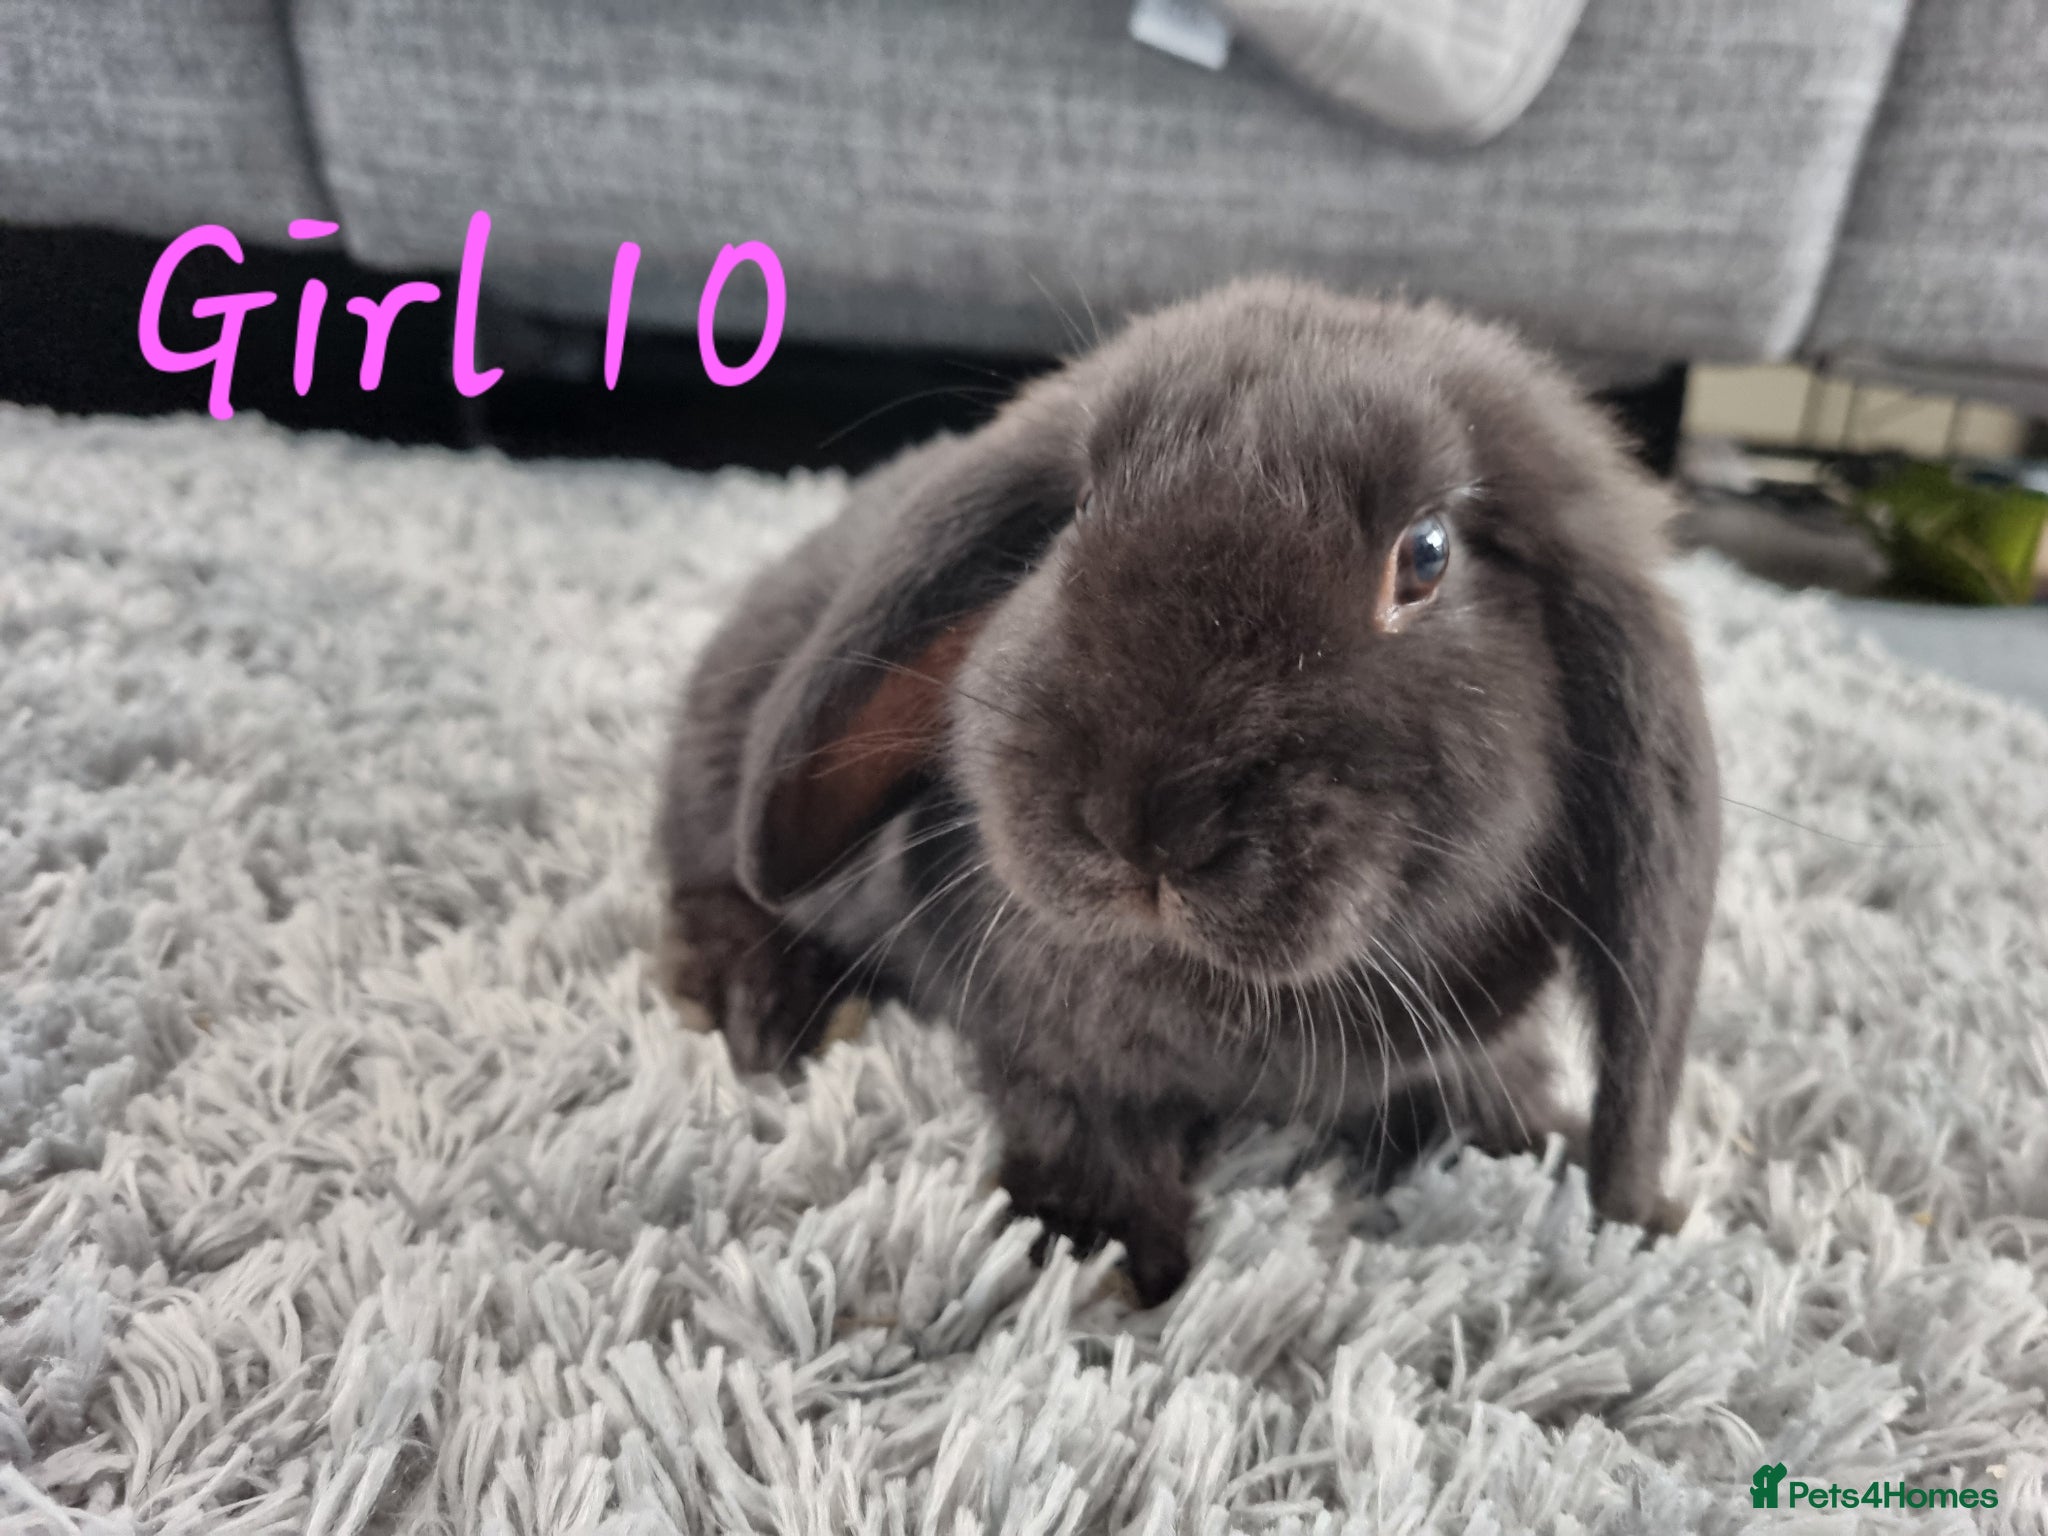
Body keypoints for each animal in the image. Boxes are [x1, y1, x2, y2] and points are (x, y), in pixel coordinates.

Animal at [656, 278, 1720, 1306]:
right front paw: (1098, 1253)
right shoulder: (1040, 1039)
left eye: (1426, 553)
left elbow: (1492, 1086)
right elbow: (1078, 1116)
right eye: (1080, 509)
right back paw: (760, 1007)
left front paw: (1600, 1179)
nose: (1142, 821)